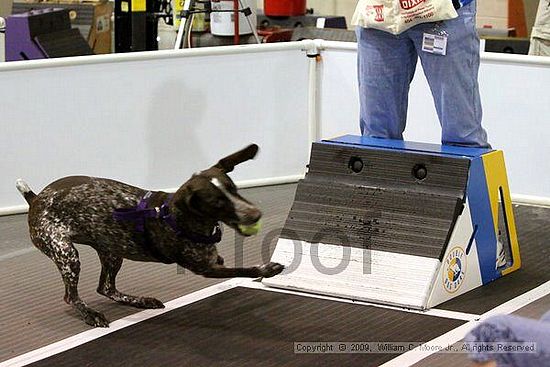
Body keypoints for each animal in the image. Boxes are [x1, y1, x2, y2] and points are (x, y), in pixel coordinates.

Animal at [17, 144, 284, 328]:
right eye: (216, 202)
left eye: (234, 189)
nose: (255, 214)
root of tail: (36, 199)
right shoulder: (205, 269)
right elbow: (243, 270)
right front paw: (266, 269)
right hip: (67, 254)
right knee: (71, 296)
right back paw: (91, 314)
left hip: (112, 251)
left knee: (106, 288)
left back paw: (139, 300)